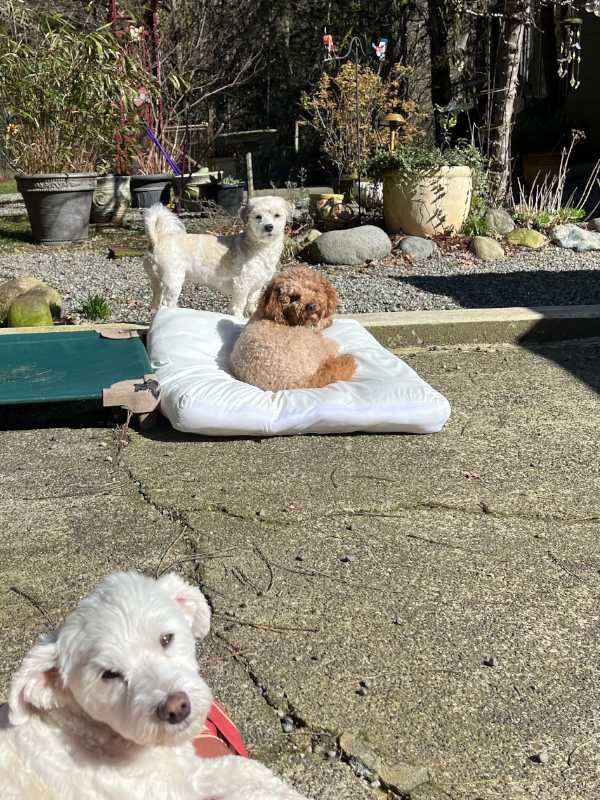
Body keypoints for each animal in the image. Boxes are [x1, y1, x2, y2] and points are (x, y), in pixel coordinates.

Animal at [143, 196, 288, 316]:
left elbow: (252, 303)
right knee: (167, 304)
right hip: (173, 280)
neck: (259, 247)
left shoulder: (256, 286)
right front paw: (239, 319)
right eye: (258, 216)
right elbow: (238, 307)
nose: (269, 226)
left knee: (156, 302)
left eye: (277, 215)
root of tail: (157, 240)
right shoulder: (241, 285)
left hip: (157, 282)